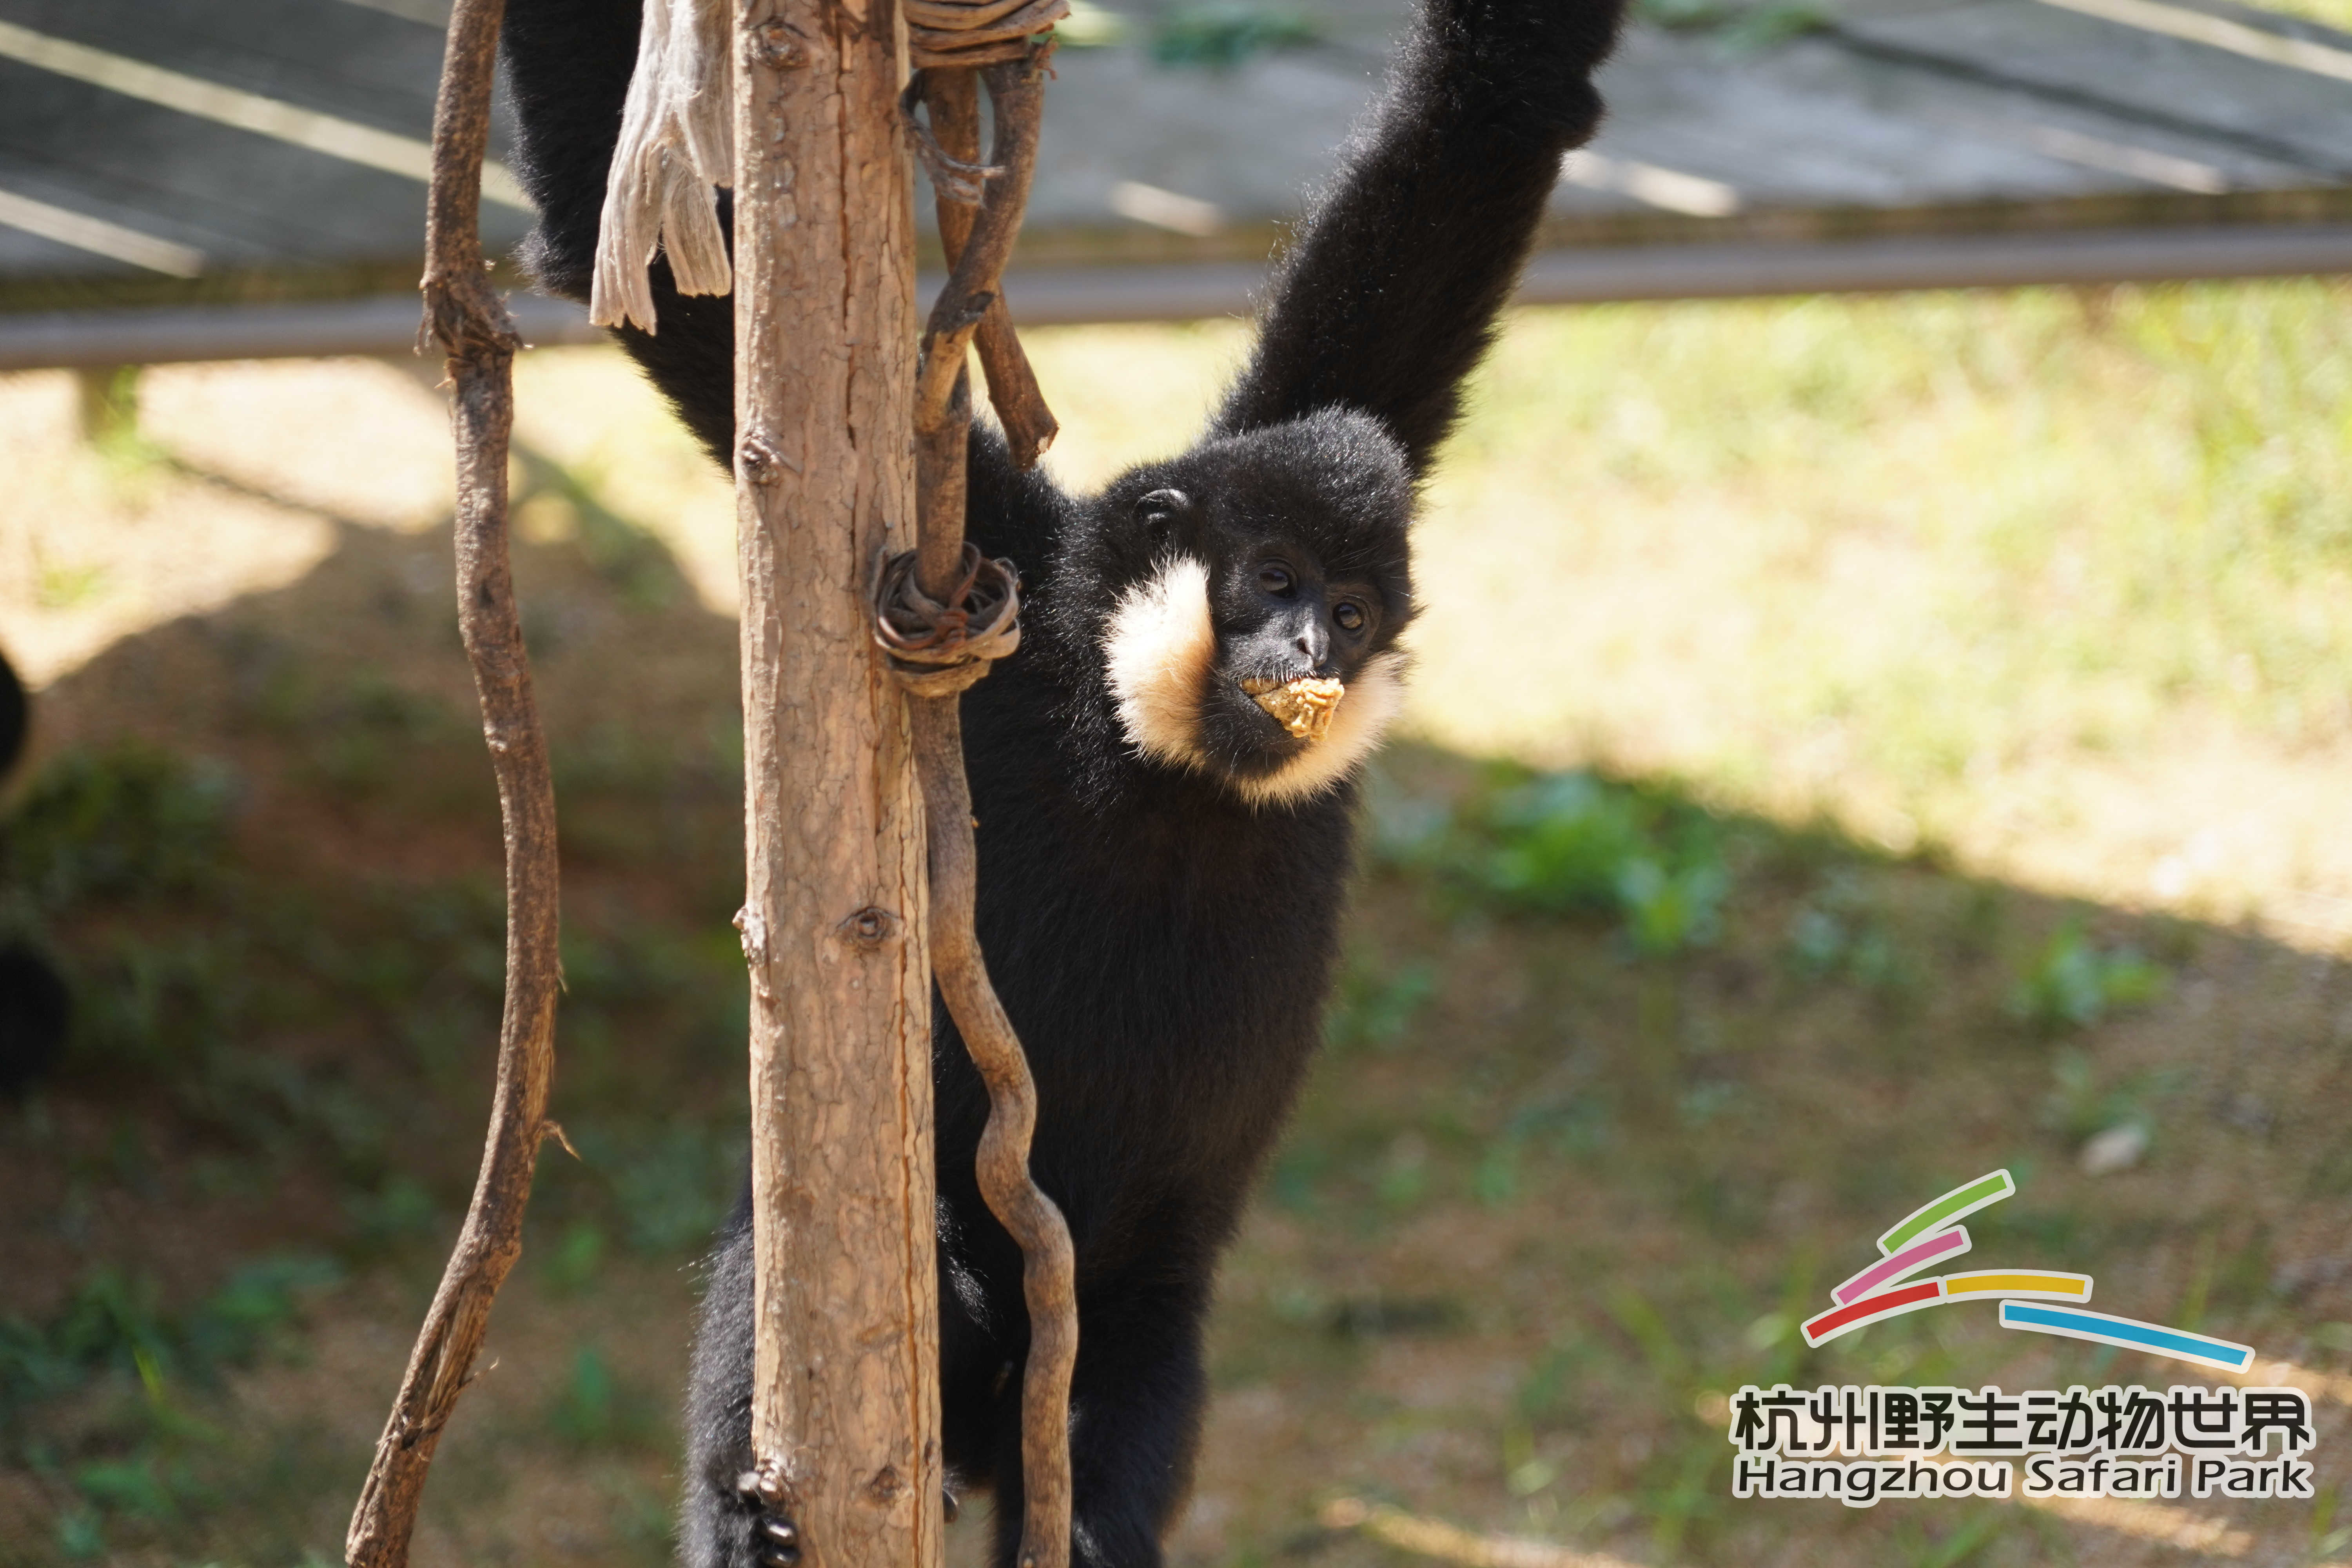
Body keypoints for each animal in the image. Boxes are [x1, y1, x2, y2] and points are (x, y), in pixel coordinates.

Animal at [496, 0, 1626, 1561]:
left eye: (1346, 612)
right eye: (1269, 581)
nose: (1304, 649)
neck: (1159, 764)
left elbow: (1491, 121)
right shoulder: (992, 571)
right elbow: (669, 283)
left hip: (1120, 1316)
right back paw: (747, 1503)